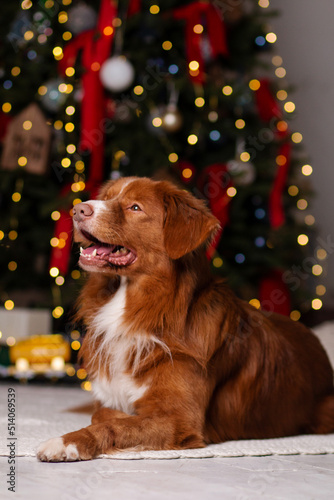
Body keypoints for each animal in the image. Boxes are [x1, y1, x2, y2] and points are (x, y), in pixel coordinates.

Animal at [36, 176, 334, 460]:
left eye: (135, 207)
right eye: (106, 197)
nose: (78, 209)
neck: (143, 309)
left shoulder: (180, 419)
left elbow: (113, 424)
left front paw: (68, 441)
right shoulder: (110, 398)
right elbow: (102, 413)